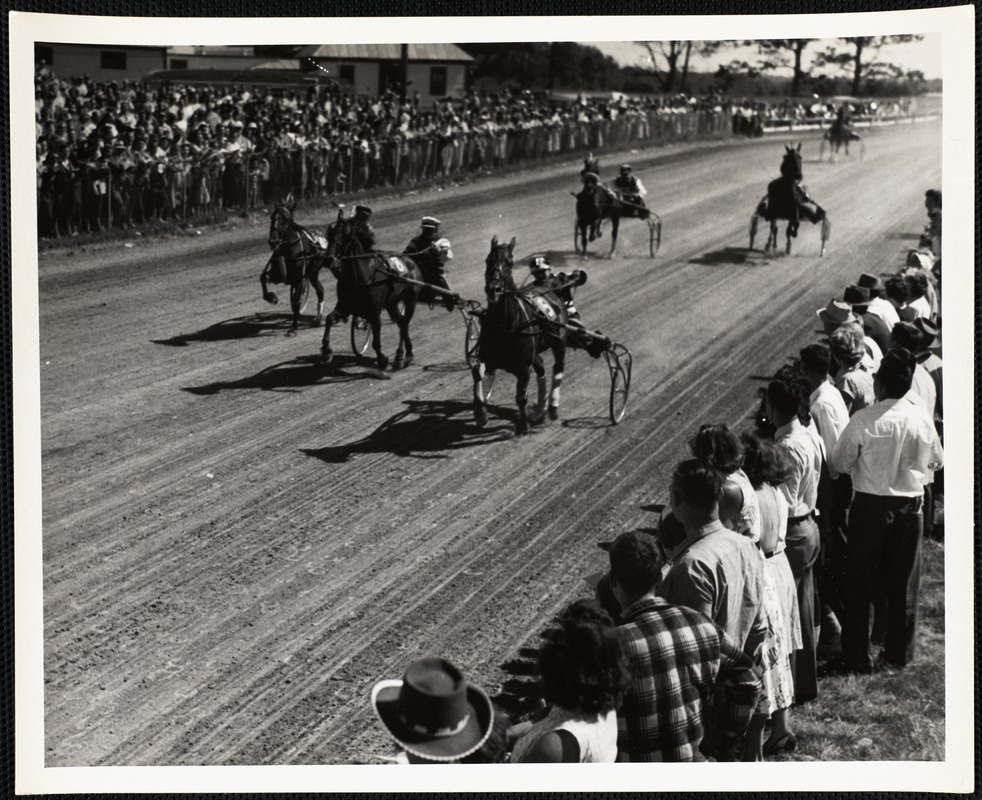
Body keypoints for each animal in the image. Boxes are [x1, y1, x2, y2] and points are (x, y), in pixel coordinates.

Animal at [264, 203, 328, 338]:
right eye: (272, 217)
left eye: (285, 219)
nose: (273, 241)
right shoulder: (279, 275)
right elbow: (264, 277)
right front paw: (271, 297)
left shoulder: (299, 279)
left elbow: (296, 301)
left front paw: (293, 327)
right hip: (313, 273)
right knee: (320, 290)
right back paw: (318, 317)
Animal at [320, 206, 418, 368]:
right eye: (330, 232)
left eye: (346, 234)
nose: (328, 259)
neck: (361, 275)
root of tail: (410, 261)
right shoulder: (346, 305)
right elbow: (329, 318)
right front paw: (326, 350)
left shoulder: (374, 310)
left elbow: (376, 337)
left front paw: (382, 358)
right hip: (391, 304)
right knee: (402, 322)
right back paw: (402, 355)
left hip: (410, 301)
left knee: (404, 323)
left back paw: (406, 354)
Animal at [474, 238, 568, 438]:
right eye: (488, 260)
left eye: (509, 262)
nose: (493, 289)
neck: (505, 324)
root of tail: (548, 288)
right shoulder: (488, 358)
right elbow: (478, 374)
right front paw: (480, 414)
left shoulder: (524, 367)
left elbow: (521, 396)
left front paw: (523, 425)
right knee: (541, 367)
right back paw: (540, 410)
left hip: (559, 340)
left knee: (558, 366)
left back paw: (552, 407)